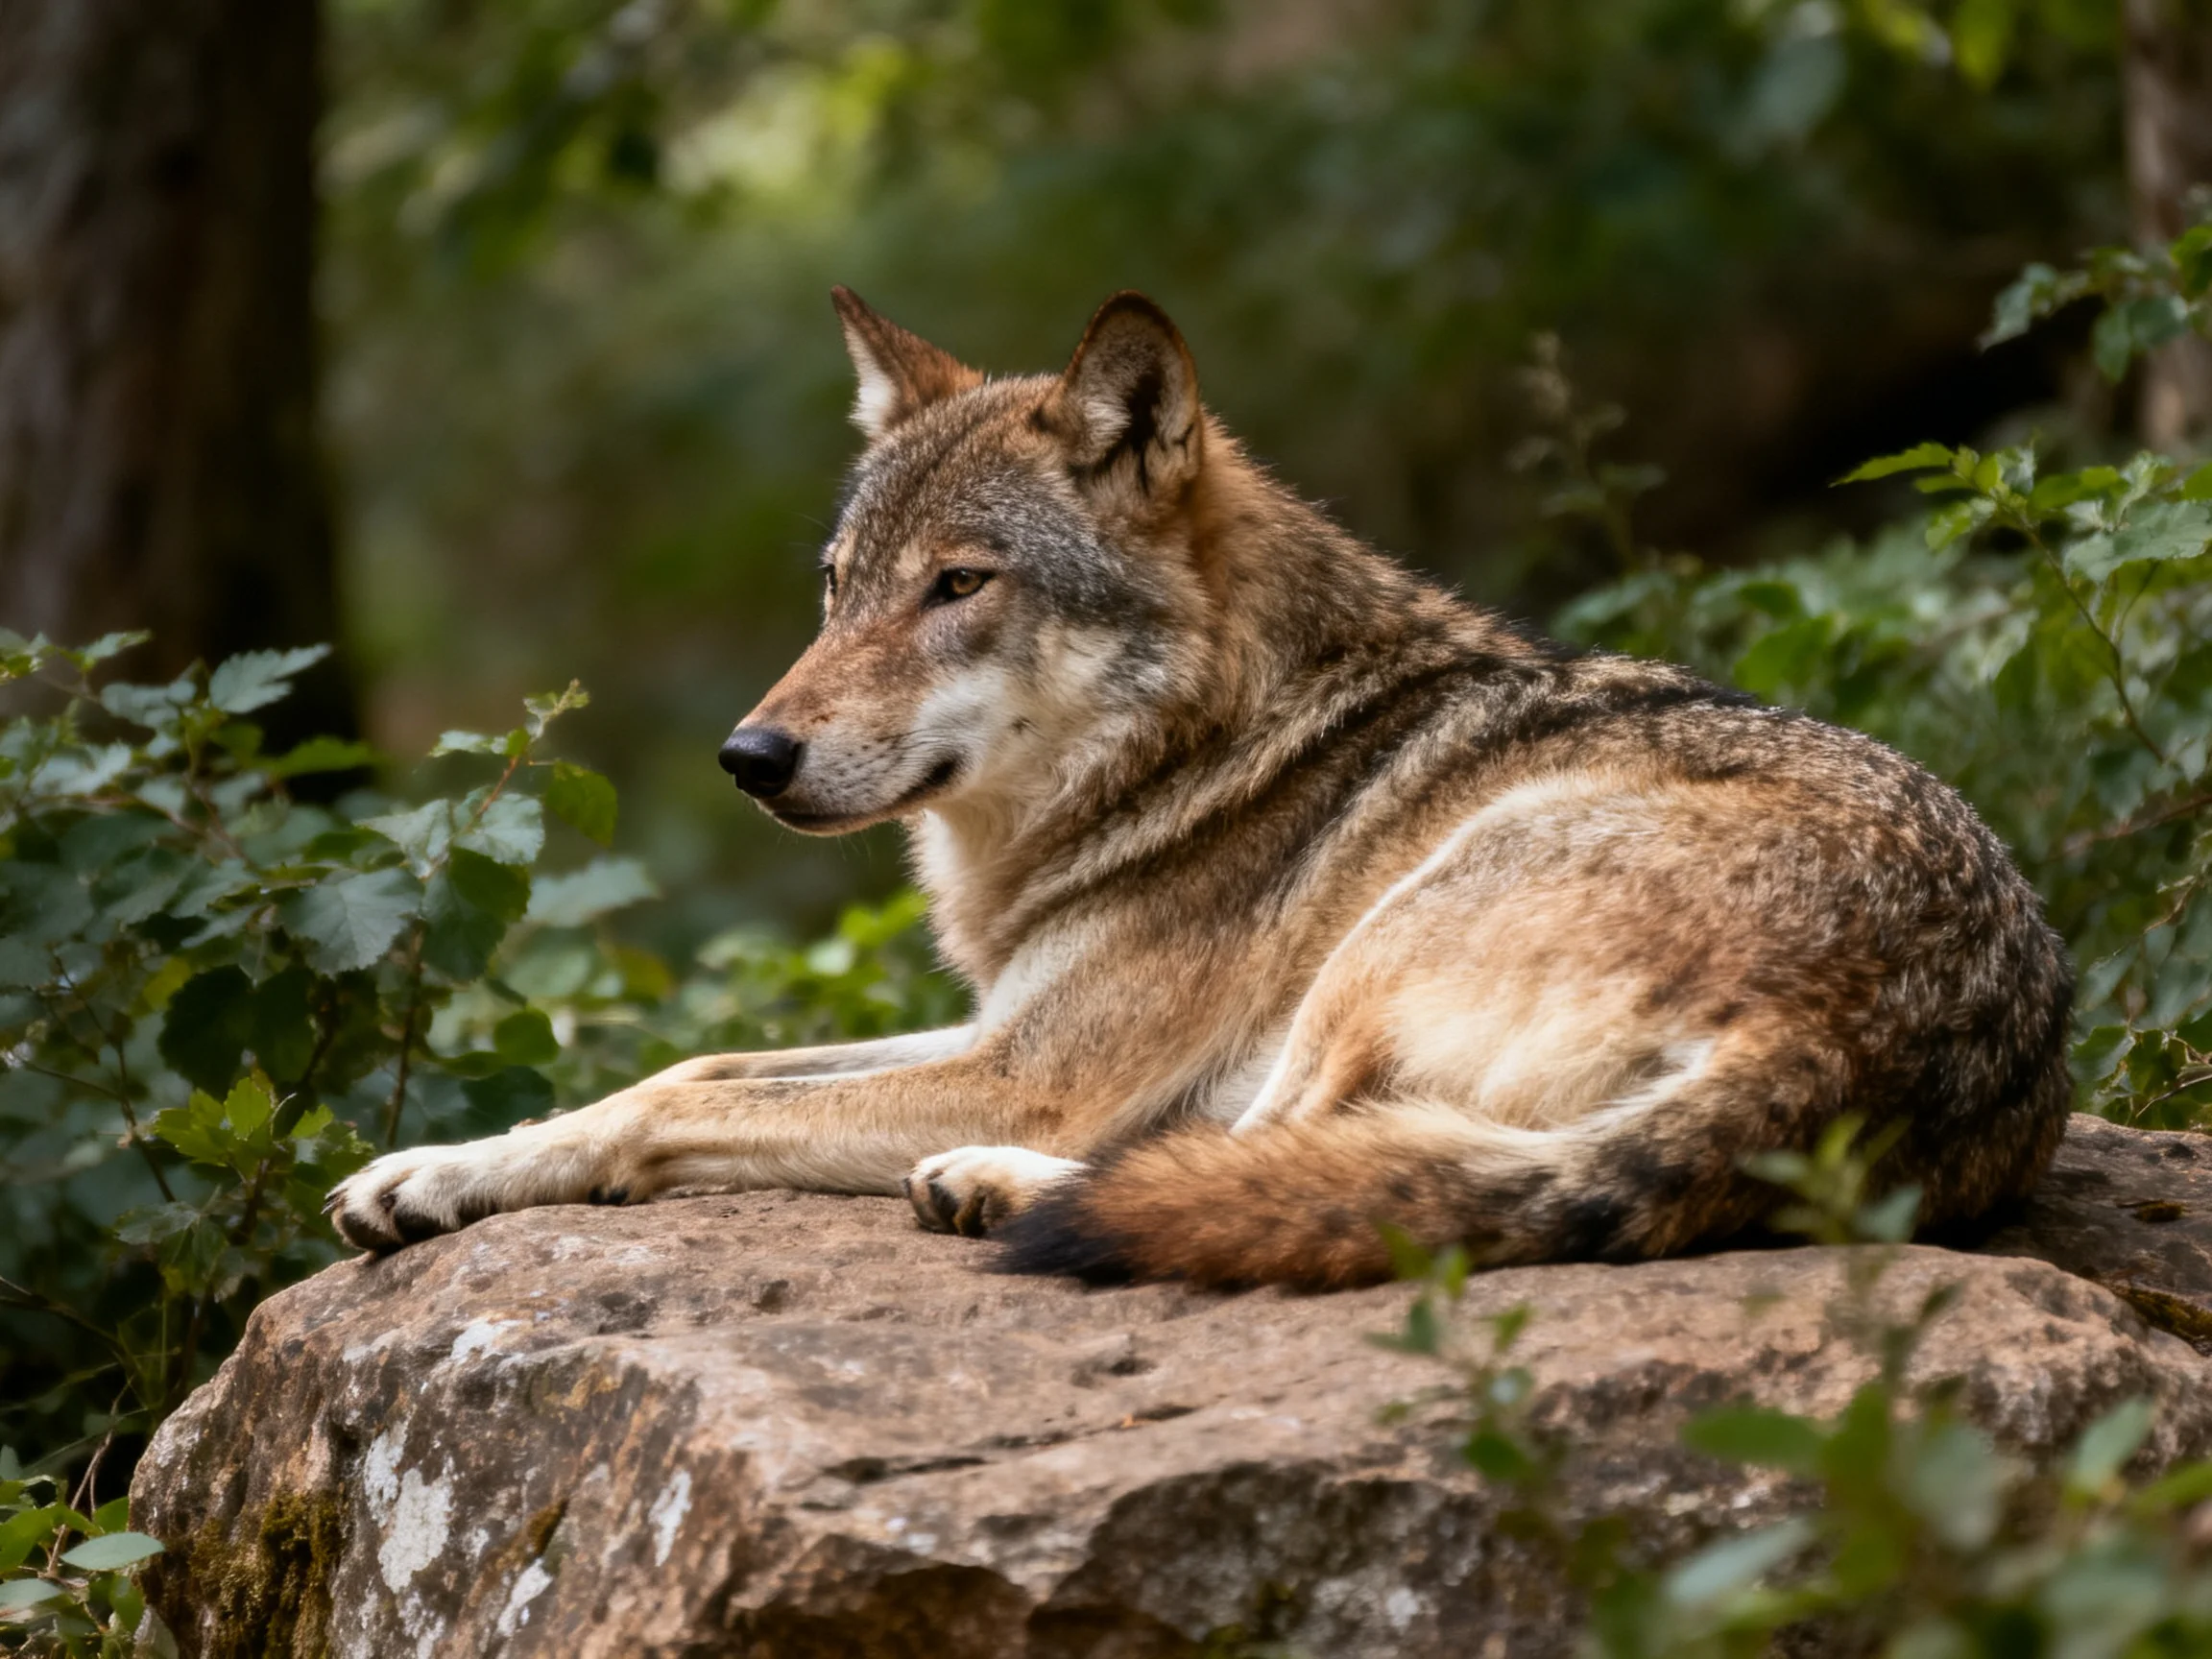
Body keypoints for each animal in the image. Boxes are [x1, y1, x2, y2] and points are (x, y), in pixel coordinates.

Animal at [329, 288, 2074, 1287]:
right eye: (835, 587)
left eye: (956, 585)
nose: (748, 758)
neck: (1207, 751)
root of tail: (1886, 1037)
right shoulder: (995, 1022)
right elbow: (700, 1062)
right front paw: (431, 1174)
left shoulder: (1030, 1072)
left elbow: (674, 1098)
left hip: (1395, 923)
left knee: (1270, 1157)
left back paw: (995, 1194)